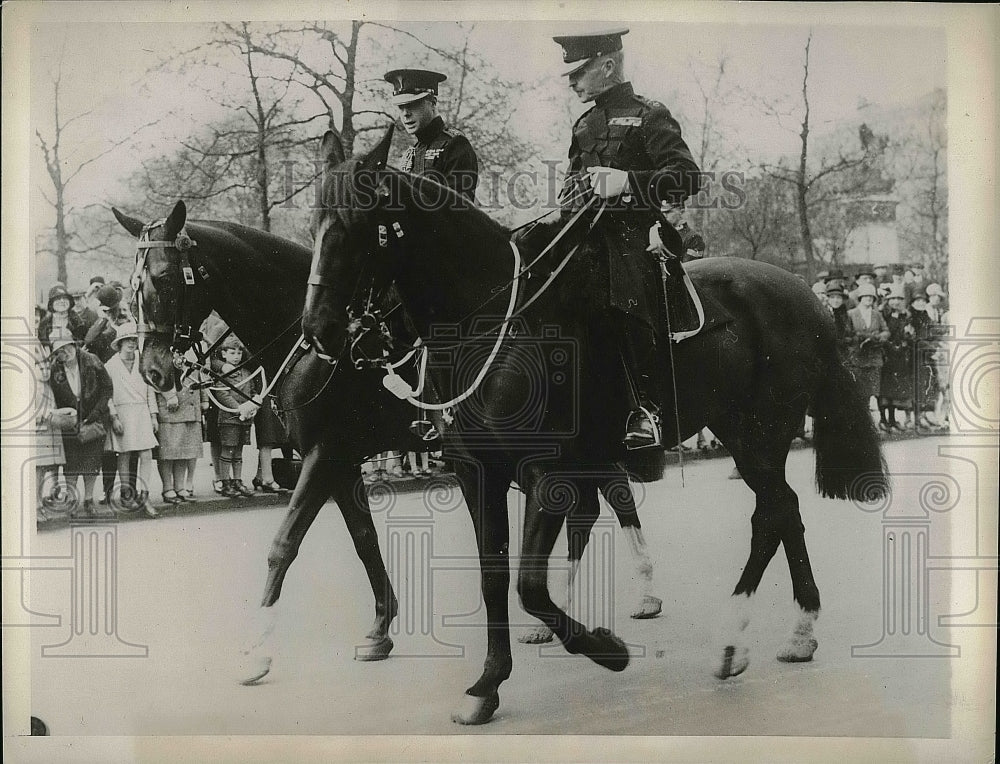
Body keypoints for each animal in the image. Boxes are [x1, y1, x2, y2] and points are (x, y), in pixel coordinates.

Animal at [300, 128, 888, 724]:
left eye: (355, 225)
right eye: (312, 223)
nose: (320, 330)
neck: (492, 329)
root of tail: (808, 296)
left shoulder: (549, 471)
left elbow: (530, 584)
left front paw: (606, 649)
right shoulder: (477, 472)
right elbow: (495, 576)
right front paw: (487, 684)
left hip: (759, 435)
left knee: (771, 513)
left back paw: (740, 637)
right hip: (742, 434)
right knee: (782, 511)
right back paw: (791, 633)